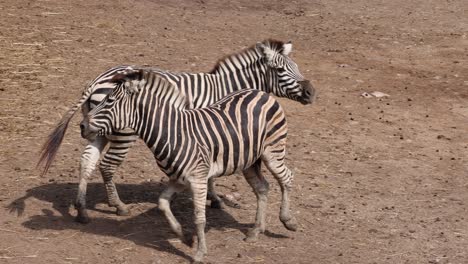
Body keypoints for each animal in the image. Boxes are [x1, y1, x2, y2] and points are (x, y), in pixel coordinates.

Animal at [36, 40, 314, 224]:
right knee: (107, 166)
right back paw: (118, 206)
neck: (227, 87)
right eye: (281, 70)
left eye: (297, 66)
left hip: (98, 129)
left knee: (87, 161)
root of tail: (97, 79)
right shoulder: (212, 130)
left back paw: (82, 210)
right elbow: (211, 174)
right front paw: (215, 199)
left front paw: (212, 197)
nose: (312, 93)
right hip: (123, 132)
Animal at [81, 68, 296, 264]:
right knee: (262, 188)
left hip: (273, 151)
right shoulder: (178, 179)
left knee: (287, 178)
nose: (82, 126)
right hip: (248, 161)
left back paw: (288, 221)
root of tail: (261, 92)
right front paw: (183, 236)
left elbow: (199, 218)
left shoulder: (198, 179)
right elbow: (162, 202)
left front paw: (200, 253)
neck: (172, 133)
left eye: (109, 101)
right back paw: (255, 230)